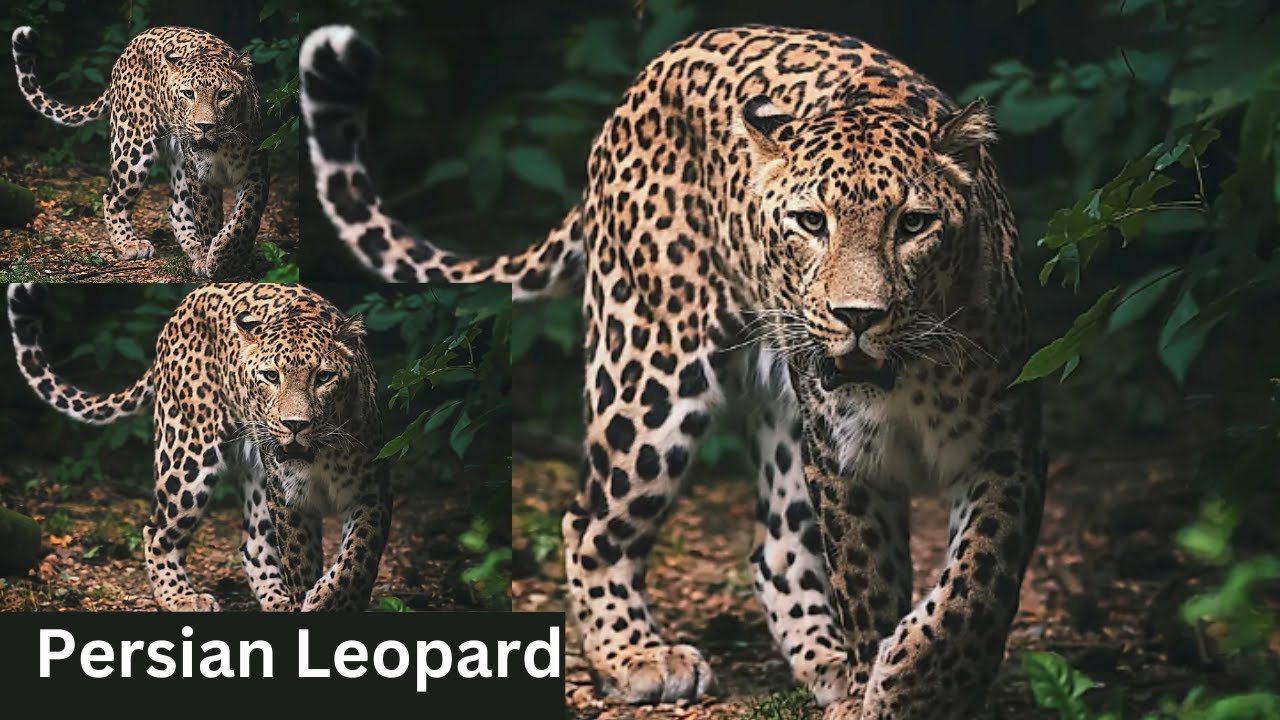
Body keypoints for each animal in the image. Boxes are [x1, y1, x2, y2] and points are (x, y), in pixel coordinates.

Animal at [7, 282, 391, 612]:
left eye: (324, 377)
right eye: (271, 376)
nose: (294, 425)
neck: (319, 457)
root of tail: (185, 304)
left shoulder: (371, 492)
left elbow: (358, 558)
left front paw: (332, 599)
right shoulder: (288, 500)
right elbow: (301, 563)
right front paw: (311, 599)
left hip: (255, 476)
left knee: (252, 544)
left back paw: (276, 600)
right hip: (187, 456)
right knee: (156, 531)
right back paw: (180, 597)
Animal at [10, 26, 268, 279]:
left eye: (224, 94)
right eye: (188, 94)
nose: (204, 126)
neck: (220, 147)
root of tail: (132, 43)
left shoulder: (255, 172)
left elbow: (245, 218)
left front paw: (225, 256)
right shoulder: (200, 176)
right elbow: (208, 218)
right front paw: (212, 259)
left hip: (177, 160)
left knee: (176, 206)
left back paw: (193, 246)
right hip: (133, 146)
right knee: (112, 197)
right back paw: (129, 244)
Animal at [301, 23, 1046, 719]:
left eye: (914, 224)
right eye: (811, 222)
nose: (856, 315)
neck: (905, 378)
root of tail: (648, 75)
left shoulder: (1008, 448)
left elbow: (977, 585)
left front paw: (918, 683)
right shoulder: (844, 462)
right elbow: (871, 587)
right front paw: (888, 685)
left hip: (776, 410)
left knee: (776, 548)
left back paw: (828, 666)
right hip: (650, 374)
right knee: (589, 522)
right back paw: (638, 657)